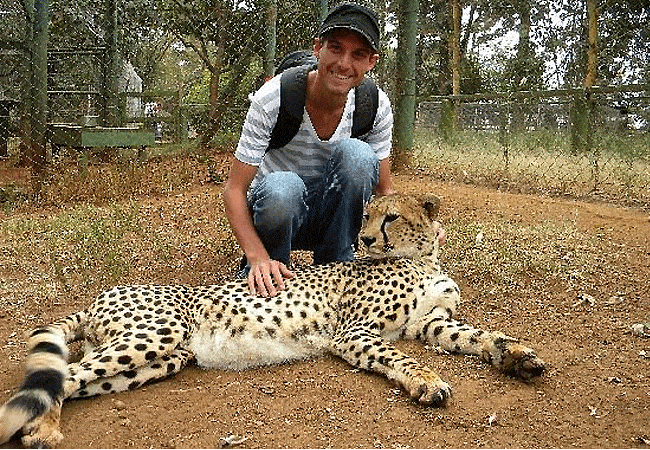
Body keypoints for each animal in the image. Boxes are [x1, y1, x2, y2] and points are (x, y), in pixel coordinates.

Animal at [2, 192, 544, 446]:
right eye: (367, 215)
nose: (365, 239)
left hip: (160, 358)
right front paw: (427, 379)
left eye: (391, 217)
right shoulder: (354, 331)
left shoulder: (427, 324)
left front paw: (517, 355)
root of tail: (106, 292)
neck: (423, 258)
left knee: (64, 379)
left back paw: (41, 425)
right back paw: (41, 430)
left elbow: (479, 335)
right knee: (63, 374)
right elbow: (400, 358)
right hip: (155, 334)